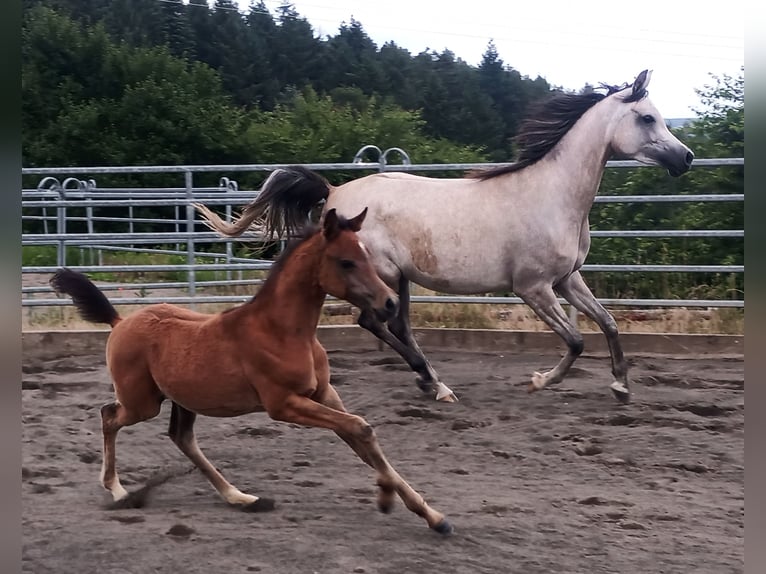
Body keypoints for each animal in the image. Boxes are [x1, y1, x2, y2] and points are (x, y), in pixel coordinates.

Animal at [49, 209, 456, 536]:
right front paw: (386, 499)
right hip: (142, 402)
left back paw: (240, 497)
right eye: (345, 262)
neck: (283, 331)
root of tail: (120, 322)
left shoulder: (325, 394)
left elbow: (362, 436)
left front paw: (434, 517)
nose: (389, 303)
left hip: (184, 400)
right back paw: (118, 489)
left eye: (366, 256)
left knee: (181, 438)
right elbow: (360, 427)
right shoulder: (284, 404)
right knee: (109, 415)